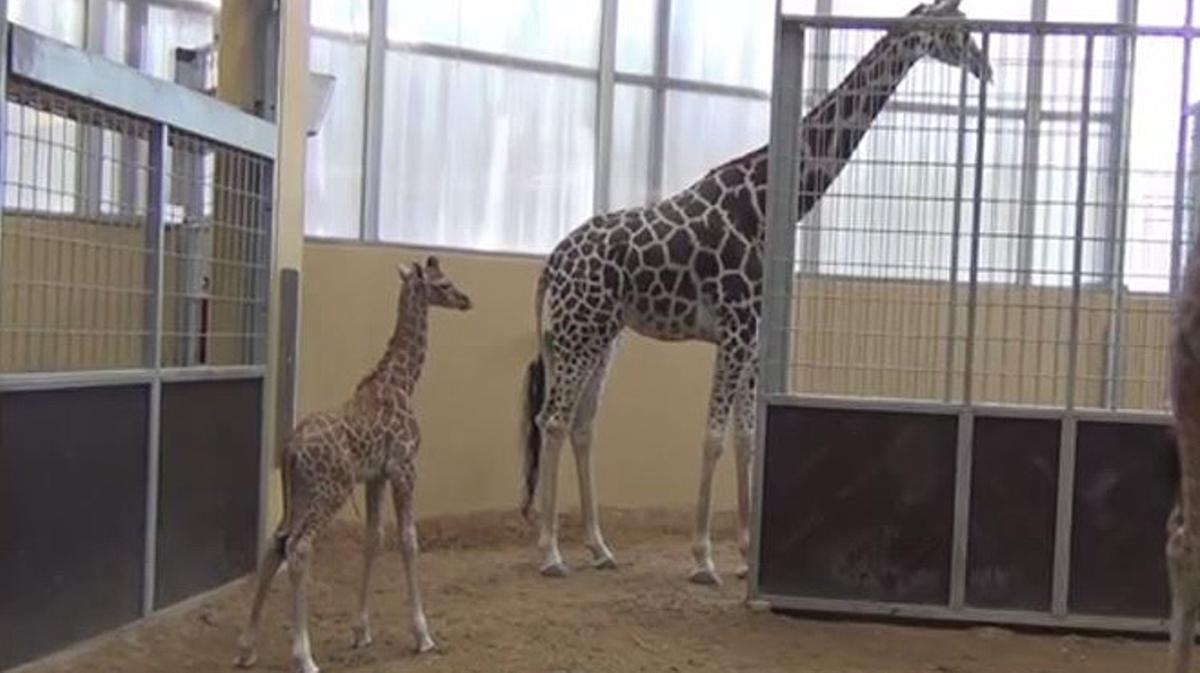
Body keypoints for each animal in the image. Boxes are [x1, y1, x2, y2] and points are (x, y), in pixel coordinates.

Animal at [236, 255, 470, 671]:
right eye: (442, 283)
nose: (465, 300)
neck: (403, 381)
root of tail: (290, 449)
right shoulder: (405, 467)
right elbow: (408, 539)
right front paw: (423, 635)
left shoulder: (375, 476)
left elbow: (373, 538)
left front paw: (361, 631)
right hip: (330, 490)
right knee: (299, 547)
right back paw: (304, 656)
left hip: (298, 494)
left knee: (275, 543)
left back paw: (247, 648)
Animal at [518, 0, 993, 580]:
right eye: (958, 32)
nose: (987, 68)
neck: (768, 203)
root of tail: (553, 261)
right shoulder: (737, 328)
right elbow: (713, 436)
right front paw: (703, 557)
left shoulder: (755, 333)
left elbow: (747, 436)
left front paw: (747, 552)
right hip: (578, 333)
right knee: (553, 419)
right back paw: (550, 552)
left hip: (603, 335)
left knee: (583, 425)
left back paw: (600, 548)